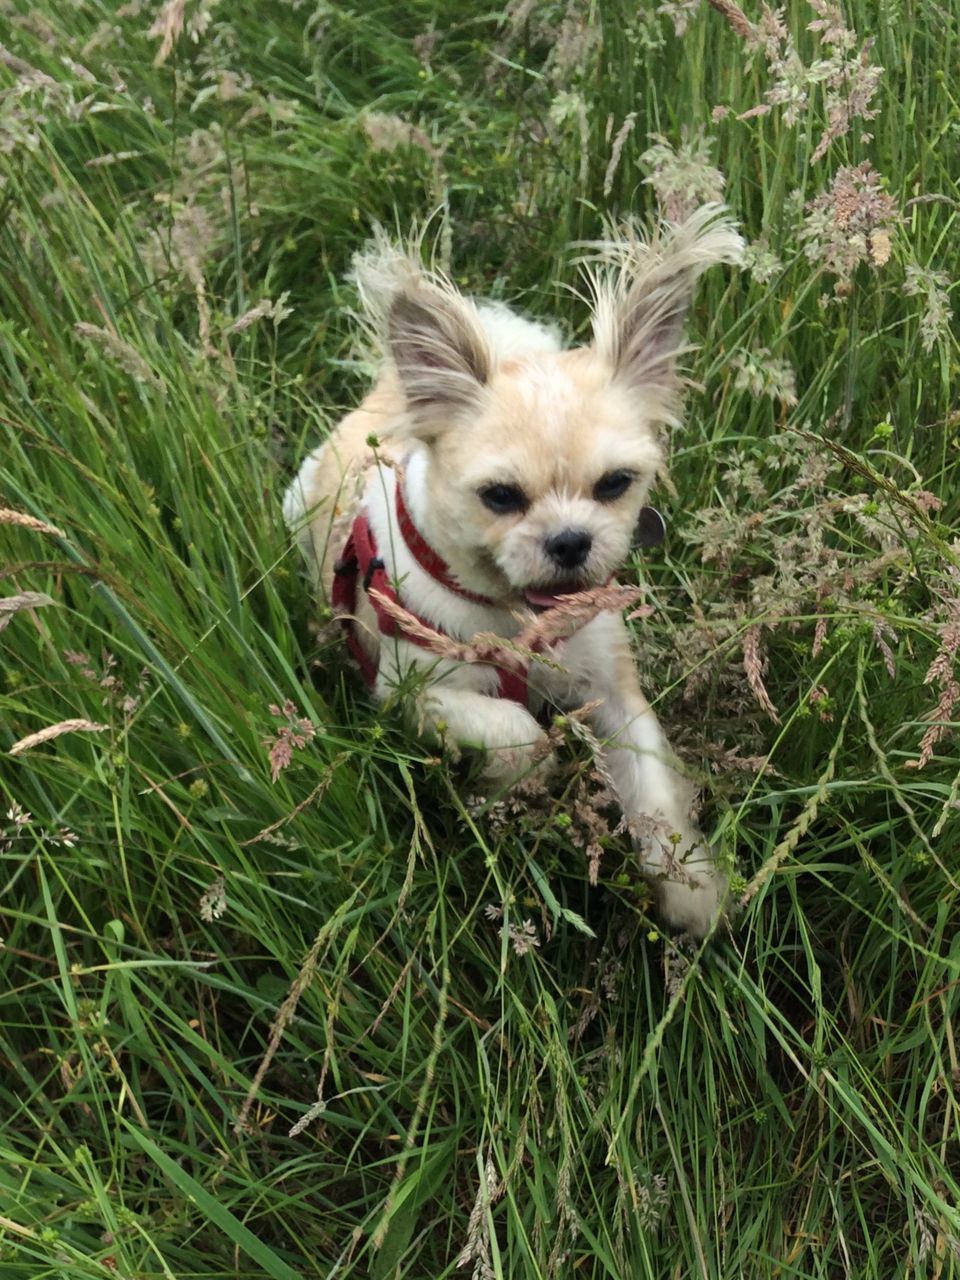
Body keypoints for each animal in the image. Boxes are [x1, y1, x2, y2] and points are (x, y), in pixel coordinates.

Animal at [285, 204, 742, 936]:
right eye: (500, 496)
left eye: (616, 484)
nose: (570, 541)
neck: (517, 621)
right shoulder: (411, 692)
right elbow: (519, 734)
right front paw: (500, 790)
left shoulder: (612, 691)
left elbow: (652, 787)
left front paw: (691, 886)